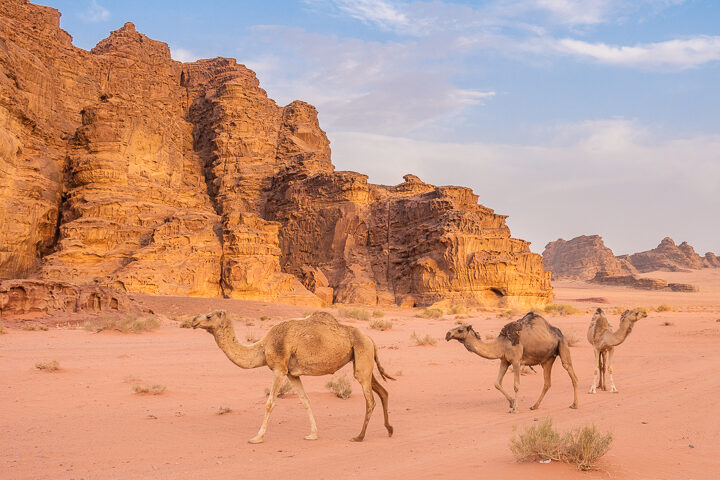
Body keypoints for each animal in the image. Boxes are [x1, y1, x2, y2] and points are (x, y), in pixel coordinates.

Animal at [191, 312, 394, 442]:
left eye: (209, 316)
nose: (193, 321)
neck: (263, 347)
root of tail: (370, 338)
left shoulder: (279, 369)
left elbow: (270, 403)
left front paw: (257, 437)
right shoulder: (292, 374)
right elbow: (305, 400)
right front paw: (312, 434)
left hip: (362, 356)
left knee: (370, 400)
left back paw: (359, 437)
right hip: (363, 360)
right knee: (383, 392)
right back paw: (389, 430)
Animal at [444, 312, 580, 412]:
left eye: (460, 330)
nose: (447, 334)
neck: (501, 344)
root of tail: (559, 333)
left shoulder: (516, 361)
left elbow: (516, 385)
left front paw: (515, 409)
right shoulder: (504, 360)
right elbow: (496, 383)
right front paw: (512, 403)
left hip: (562, 345)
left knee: (572, 374)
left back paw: (575, 405)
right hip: (547, 359)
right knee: (547, 383)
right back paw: (534, 406)